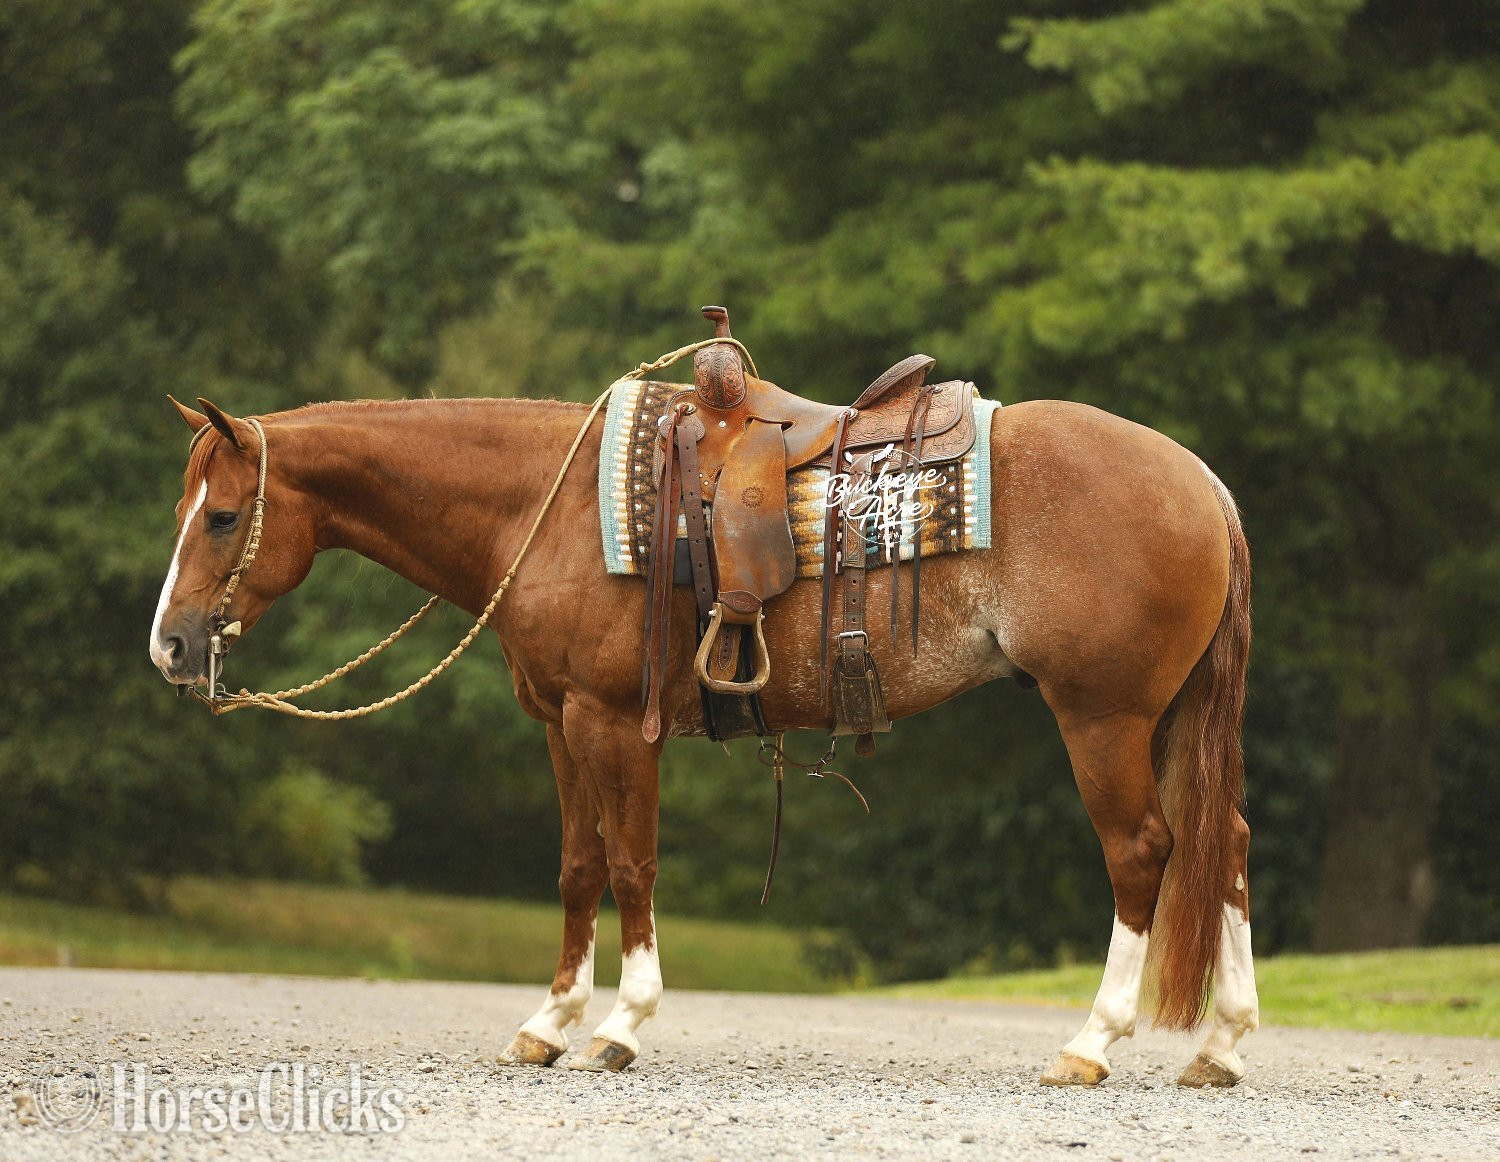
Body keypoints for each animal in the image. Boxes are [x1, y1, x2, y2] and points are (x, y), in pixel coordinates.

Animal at [149, 387, 1257, 1088]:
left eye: (224, 516)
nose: (168, 645)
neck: (547, 509)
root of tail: (1203, 480)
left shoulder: (612, 722)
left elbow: (631, 865)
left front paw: (621, 1025)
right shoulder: (559, 725)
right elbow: (578, 868)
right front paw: (547, 1024)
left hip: (1103, 717)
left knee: (1142, 854)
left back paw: (1093, 1043)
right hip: (1171, 720)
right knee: (1228, 848)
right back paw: (1223, 1046)